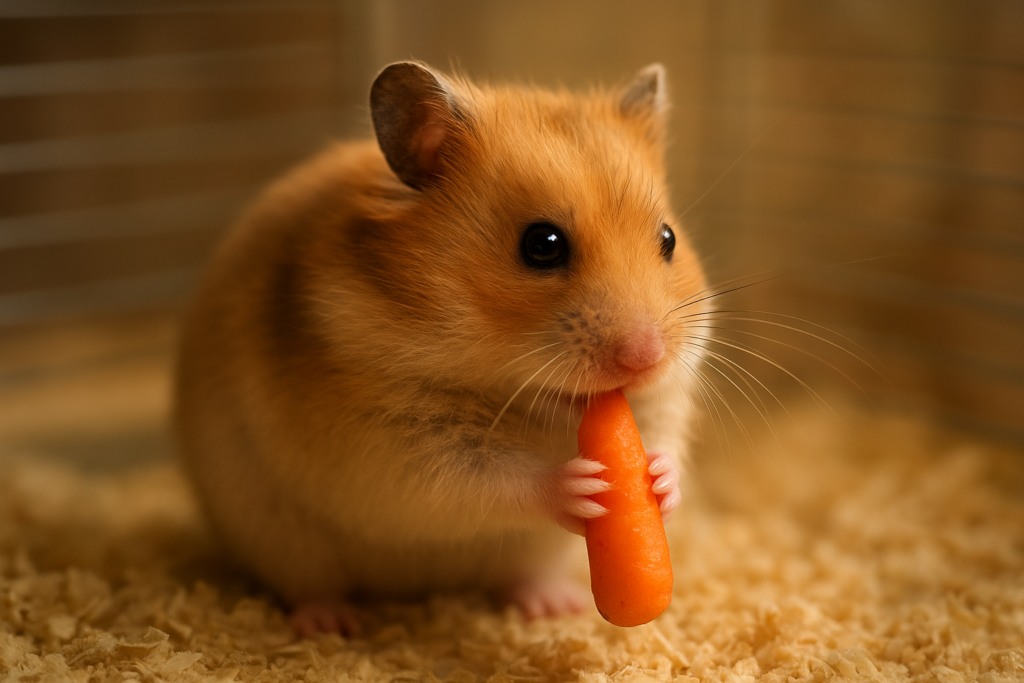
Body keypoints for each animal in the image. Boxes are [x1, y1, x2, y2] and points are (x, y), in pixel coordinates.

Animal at [174, 61, 708, 636]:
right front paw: (586, 486)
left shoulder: (663, 401)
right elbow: (484, 479)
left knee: (517, 577)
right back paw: (333, 624)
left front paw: (659, 479)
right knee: (310, 586)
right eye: (542, 245)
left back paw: (553, 605)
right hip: (279, 540)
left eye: (669, 239)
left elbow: (662, 441)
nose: (645, 359)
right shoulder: (390, 445)